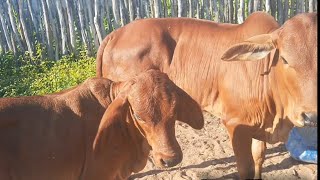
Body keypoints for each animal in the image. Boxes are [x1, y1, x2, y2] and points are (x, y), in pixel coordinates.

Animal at [95, 11, 318, 180]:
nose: (311, 116)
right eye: (285, 59)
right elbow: (245, 168)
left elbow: (259, 158)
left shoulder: (260, 126)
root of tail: (116, 34)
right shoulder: (236, 125)